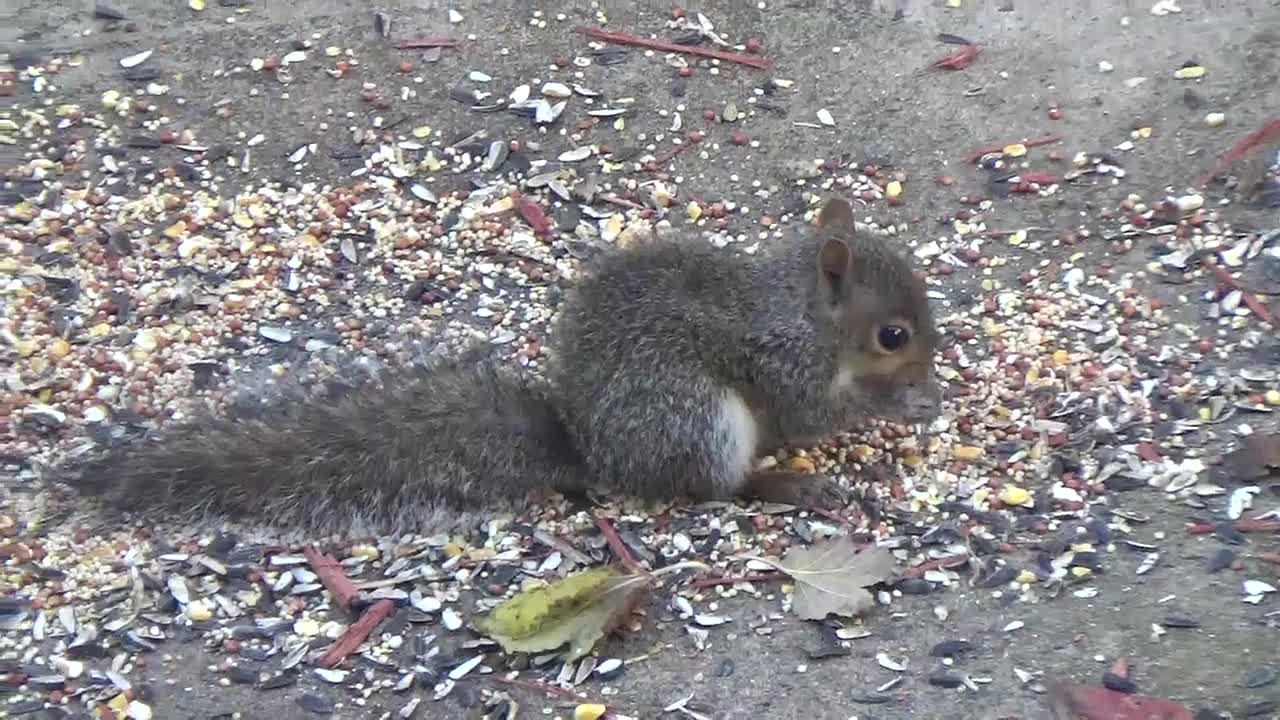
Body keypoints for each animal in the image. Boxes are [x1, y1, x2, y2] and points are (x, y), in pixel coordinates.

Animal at [72, 196, 952, 532]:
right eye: (893, 335)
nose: (925, 378)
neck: (802, 313)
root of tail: (597, 453)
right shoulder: (780, 365)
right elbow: (811, 414)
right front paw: (901, 404)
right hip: (698, 421)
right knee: (712, 488)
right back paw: (787, 485)